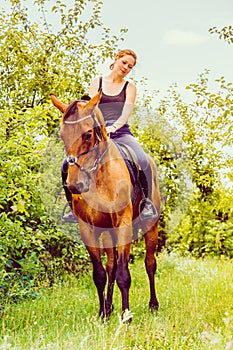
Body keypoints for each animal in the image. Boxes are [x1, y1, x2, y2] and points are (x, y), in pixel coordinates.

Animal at [50, 91, 160, 320]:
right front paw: (103, 313)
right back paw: (109, 307)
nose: (74, 185)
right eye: (63, 135)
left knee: (149, 263)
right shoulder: (88, 228)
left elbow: (124, 274)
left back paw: (153, 305)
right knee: (111, 266)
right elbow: (100, 274)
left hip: (150, 226)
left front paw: (126, 316)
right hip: (109, 232)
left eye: (87, 135)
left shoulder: (124, 223)